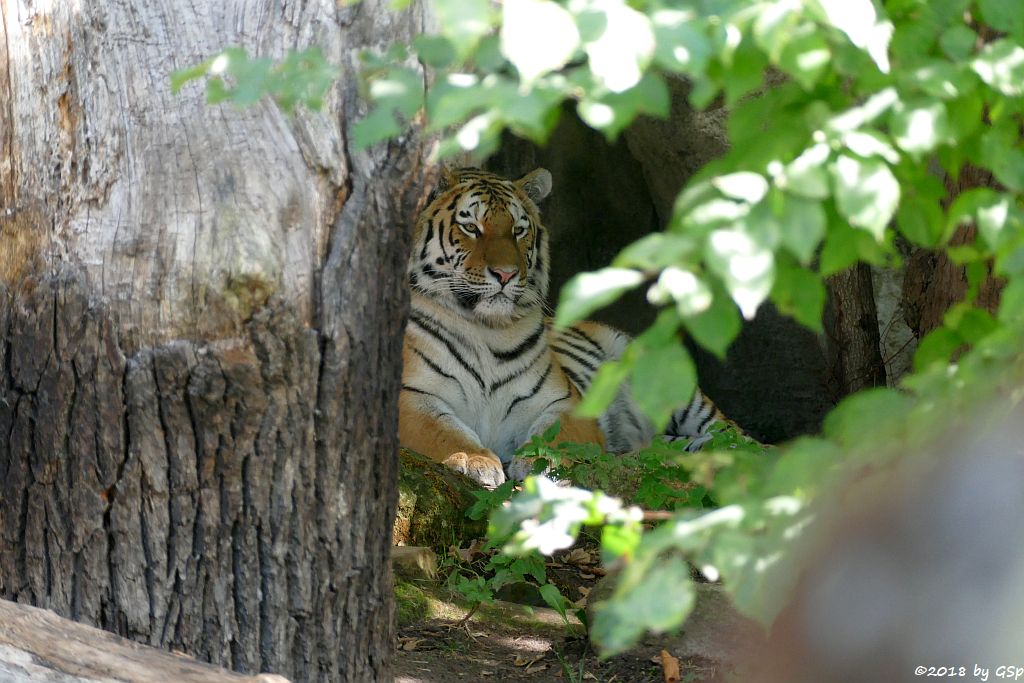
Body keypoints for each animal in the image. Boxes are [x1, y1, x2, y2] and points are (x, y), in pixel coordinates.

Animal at [399, 167, 729, 489]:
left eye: (518, 231)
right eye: (470, 227)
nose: (506, 274)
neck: (485, 329)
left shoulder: (564, 401)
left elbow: (555, 436)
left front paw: (541, 461)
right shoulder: (412, 396)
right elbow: (443, 431)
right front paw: (473, 460)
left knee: (729, 432)